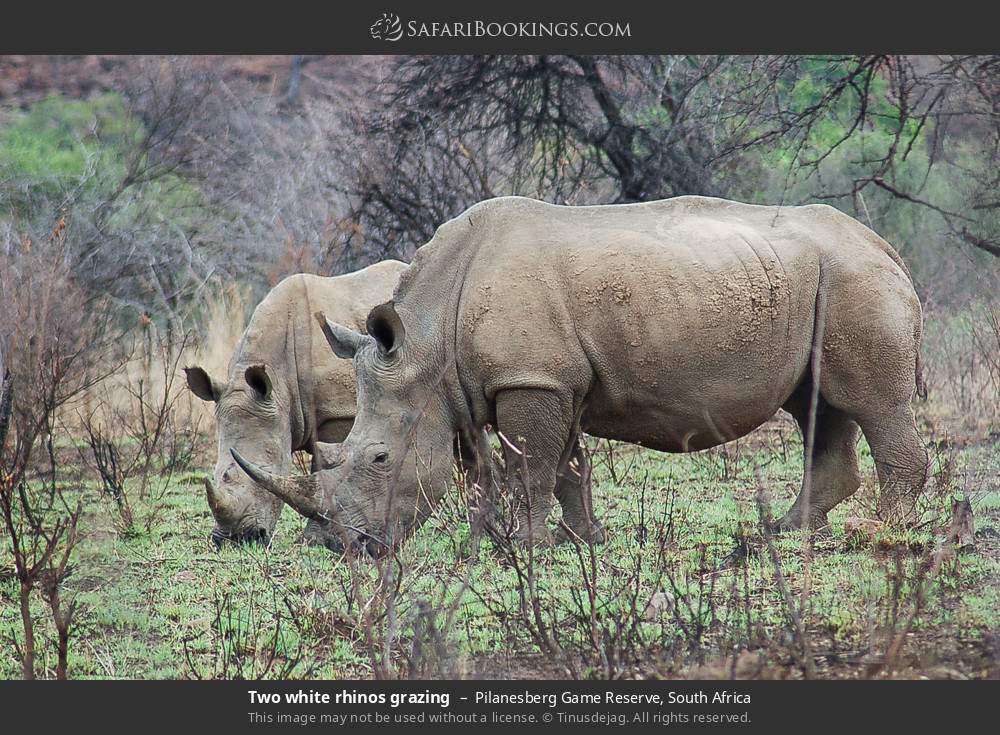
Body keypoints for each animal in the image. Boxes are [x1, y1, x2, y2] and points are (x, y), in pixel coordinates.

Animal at [234, 198, 928, 556]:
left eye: (378, 458)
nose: (345, 545)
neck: (426, 340)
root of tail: (886, 246)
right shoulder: (542, 380)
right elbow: (557, 464)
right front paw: (575, 538)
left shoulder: (532, 379)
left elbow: (533, 465)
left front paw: (529, 546)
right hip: (821, 281)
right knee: (818, 405)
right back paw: (785, 531)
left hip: (853, 280)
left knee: (872, 403)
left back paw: (882, 535)